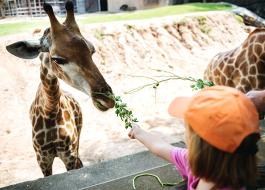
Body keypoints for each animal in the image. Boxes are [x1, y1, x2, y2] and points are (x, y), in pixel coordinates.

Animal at [5, 1, 114, 177]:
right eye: (57, 59)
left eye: (92, 51)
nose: (107, 99)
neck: (50, 110)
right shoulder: (42, 159)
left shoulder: (69, 155)